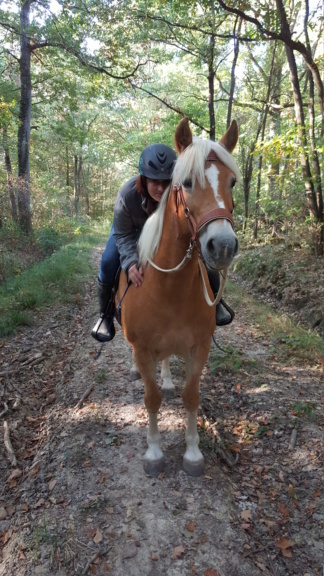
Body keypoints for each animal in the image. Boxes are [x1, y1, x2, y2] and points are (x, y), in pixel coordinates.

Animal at [115, 117, 239, 476]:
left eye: (233, 182)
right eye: (186, 182)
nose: (223, 246)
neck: (169, 290)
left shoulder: (199, 348)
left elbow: (190, 396)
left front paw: (193, 453)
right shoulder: (143, 349)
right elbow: (151, 398)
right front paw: (154, 452)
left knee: (167, 360)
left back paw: (169, 380)